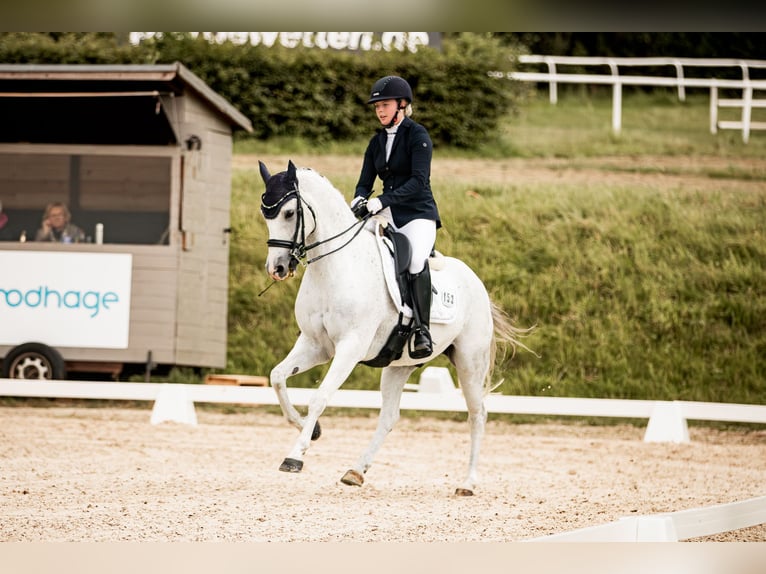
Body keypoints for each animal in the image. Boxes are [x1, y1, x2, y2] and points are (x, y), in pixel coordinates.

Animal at [260, 160, 536, 498]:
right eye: (265, 213)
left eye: (288, 213)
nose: (277, 268)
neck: (336, 267)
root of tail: (476, 280)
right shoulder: (315, 345)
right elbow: (277, 377)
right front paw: (311, 431)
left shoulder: (350, 348)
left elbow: (320, 397)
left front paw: (295, 456)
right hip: (398, 365)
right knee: (390, 416)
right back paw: (355, 471)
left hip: (470, 361)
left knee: (477, 413)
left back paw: (467, 483)